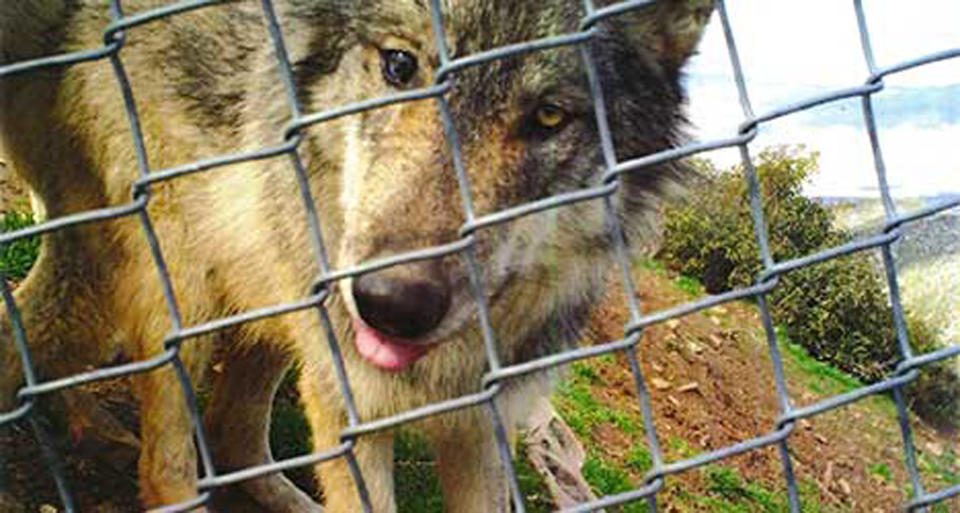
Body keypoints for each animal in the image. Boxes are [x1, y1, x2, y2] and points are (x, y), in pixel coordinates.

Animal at [1, 1, 712, 508]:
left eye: (550, 117)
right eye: (400, 67)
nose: (391, 304)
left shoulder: (482, 423)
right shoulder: (355, 409)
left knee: (230, 432)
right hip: (191, 288)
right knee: (165, 460)